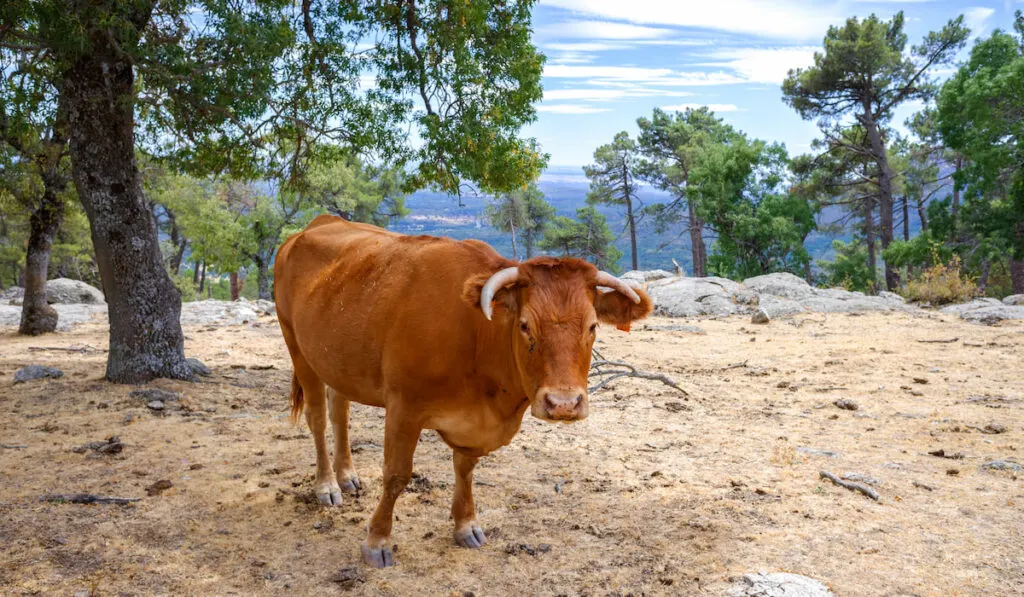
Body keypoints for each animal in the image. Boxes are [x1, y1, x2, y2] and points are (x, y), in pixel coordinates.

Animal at [276, 214, 651, 565]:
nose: (563, 403)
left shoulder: (474, 424)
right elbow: (396, 475)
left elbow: (465, 468)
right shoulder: (404, 407)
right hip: (297, 344)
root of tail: (318, 223)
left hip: (337, 360)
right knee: (317, 418)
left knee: (339, 410)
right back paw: (327, 485)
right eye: (525, 325)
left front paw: (465, 525)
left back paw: (347, 475)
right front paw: (377, 541)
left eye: (592, 326)